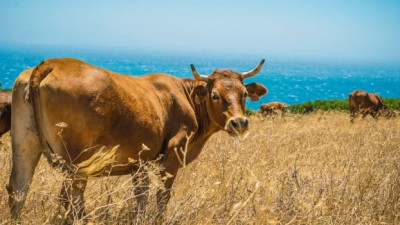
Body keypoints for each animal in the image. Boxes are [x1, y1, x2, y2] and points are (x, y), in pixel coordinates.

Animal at [6, 57, 268, 220]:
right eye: (215, 95)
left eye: (244, 94)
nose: (239, 122)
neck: (185, 96)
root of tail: (51, 63)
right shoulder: (171, 159)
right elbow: (162, 197)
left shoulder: (139, 164)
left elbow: (141, 196)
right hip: (77, 164)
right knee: (73, 198)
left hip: (25, 147)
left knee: (18, 189)